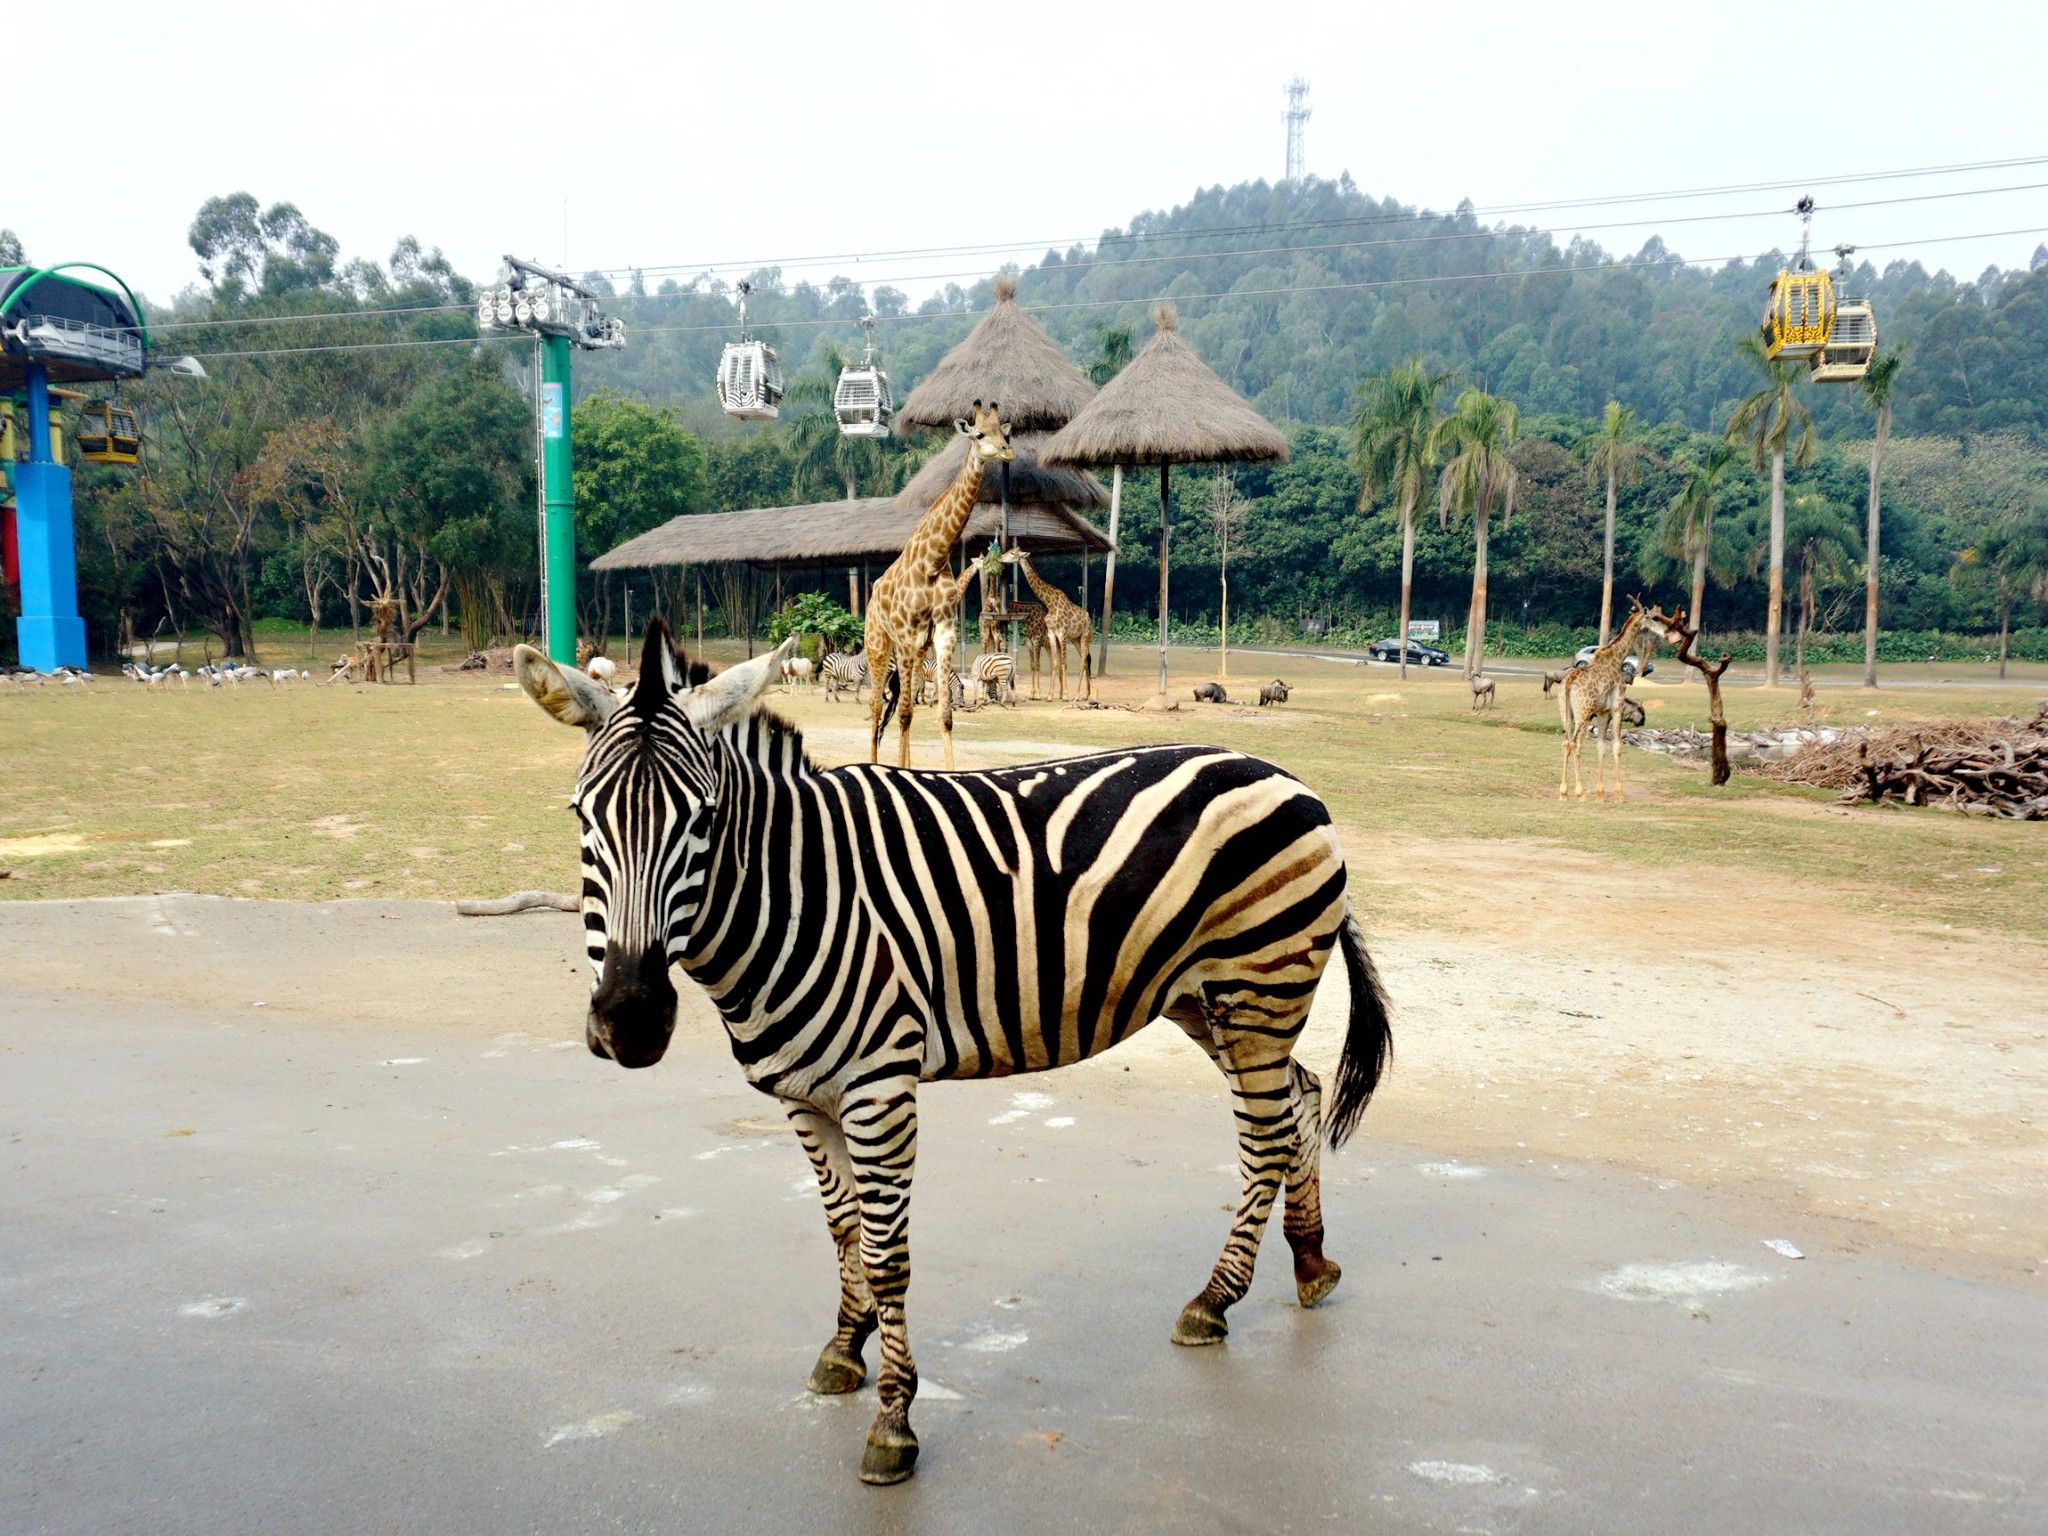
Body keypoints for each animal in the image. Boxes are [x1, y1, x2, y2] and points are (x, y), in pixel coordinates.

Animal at [520, 618, 1400, 1482]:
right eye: (580, 818)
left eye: (704, 821)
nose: (631, 1022)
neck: (793, 891)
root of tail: (1283, 776)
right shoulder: (804, 1093)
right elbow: (842, 1229)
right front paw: (844, 1349)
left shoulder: (879, 1086)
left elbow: (886, 1253)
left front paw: (893, 1422)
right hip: (1204, 997)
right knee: (1301, 1098)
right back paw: (1310, 1264)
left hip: (1259, 984)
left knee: (1266, 1135)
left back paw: (1215, 1299)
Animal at [860, 403, 1011, 770]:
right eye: (979, 434)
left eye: (1005, 433)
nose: (1007, 452)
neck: (932, 560)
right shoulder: (905, 635)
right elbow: (903, 712)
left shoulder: (943, 633)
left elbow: (943, 715)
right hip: (878, 643)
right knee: (876, 706)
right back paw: (874, 763)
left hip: (915, 649)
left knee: (901, 705)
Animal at [1003, 548, 1097, 704]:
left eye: (1012, 553)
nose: (1000, 557)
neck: (1050, 602)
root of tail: (1089, 618)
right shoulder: (1050, 635)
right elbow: (1053, 663)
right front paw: (1049, 695)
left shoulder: (1060, 634)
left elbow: (1062, 663)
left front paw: (1064, 695)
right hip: (1075, 639)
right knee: (1085, 660)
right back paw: (1086, 694)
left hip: (1085, 636)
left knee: (1083, 661)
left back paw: (1078, 694)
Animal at [1556, 606, 1671, 806]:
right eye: (1655, 618)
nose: (1666, 632)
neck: (1616, 658)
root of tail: (1569, 682)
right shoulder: (1617, 708)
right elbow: (1617, 746)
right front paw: (1619, 795)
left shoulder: (1602, 712)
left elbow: (1601, 746)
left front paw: (1600, 794)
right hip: (1583, 713)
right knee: (1575, 743)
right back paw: (1580, 793)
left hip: (1567, 713)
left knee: (1566, 742)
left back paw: (1563, 793)